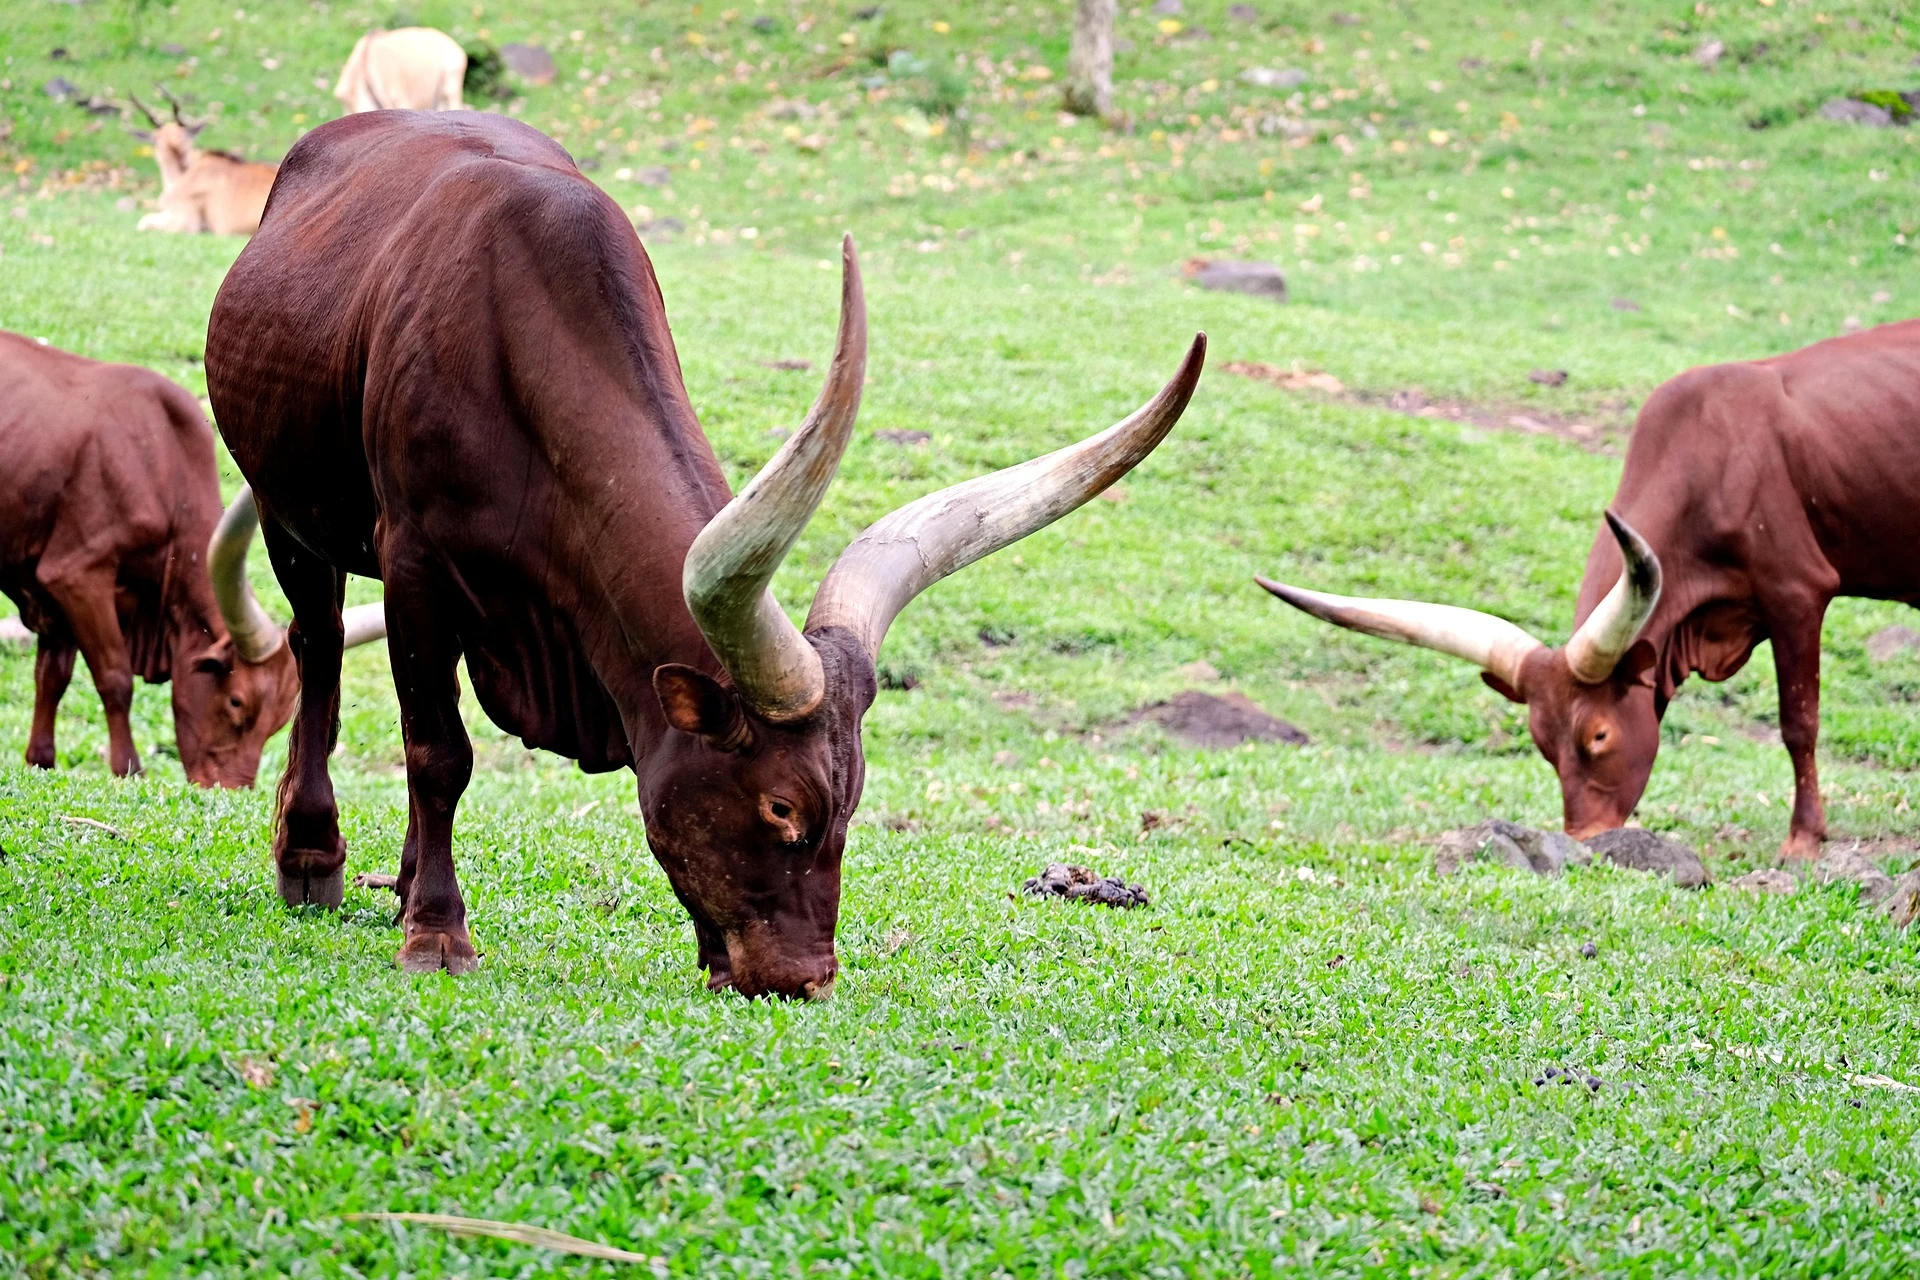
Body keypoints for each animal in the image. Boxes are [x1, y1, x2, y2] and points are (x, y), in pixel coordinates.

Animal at [0, 331, 384, 785]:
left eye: (275, 723)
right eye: (236, 702)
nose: (230, 789)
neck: (159, 465)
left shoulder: (53, 595)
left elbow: (52, 676)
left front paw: (40, 759)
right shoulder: (77, 577)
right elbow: (114, 678)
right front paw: (128, 767)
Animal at [205, 111, 1204, 997]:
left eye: (850, 804)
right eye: (781, 806)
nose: (804, 981)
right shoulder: (415, 568)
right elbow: (437, 753)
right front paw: (438, 936)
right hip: (290, 513)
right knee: (321, 649)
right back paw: (310, 854)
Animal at [1259, 322, 1920, 860]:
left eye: (1598, 734)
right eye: (1540, 742)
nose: (1584, 837)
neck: (1711, 463)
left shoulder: (1796, 592)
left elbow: (1798, 722)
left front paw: (1803, 841)